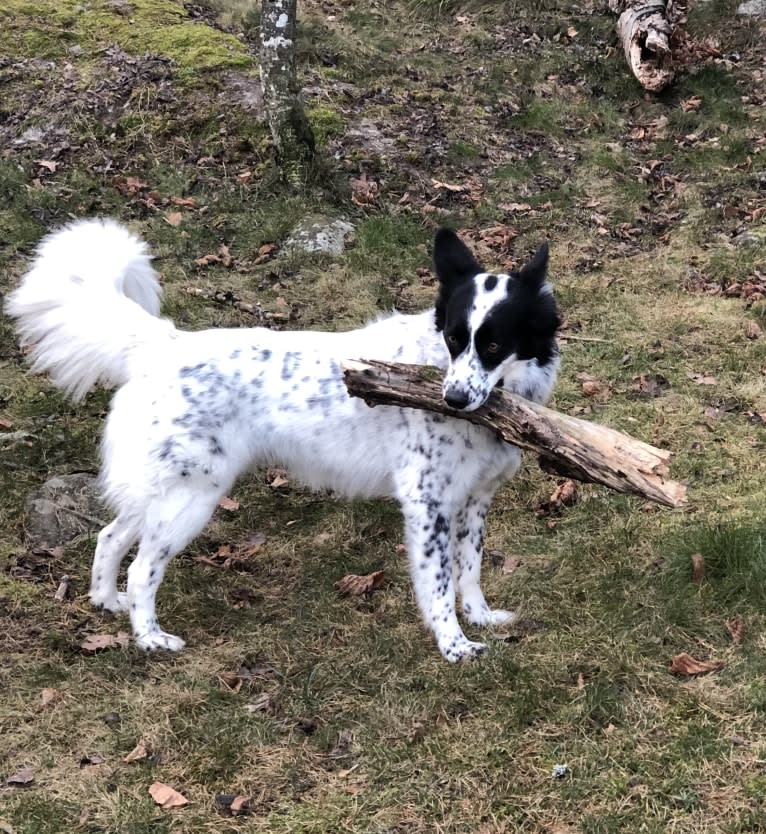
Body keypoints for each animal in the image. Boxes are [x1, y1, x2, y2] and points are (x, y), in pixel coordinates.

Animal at [4, 221, 560, 664]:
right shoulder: (429, 504)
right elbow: (440, 583)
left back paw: (107, 602)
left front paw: (480, 617)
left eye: (492, 344)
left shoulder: (474, 500)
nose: (454, 398)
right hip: (190, 498)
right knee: (142, 569)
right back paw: (150, 639)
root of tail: (164, 343)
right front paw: (453, 645)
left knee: (110, 536)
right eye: (452, 338)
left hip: (161, 491)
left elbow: (470, 570)